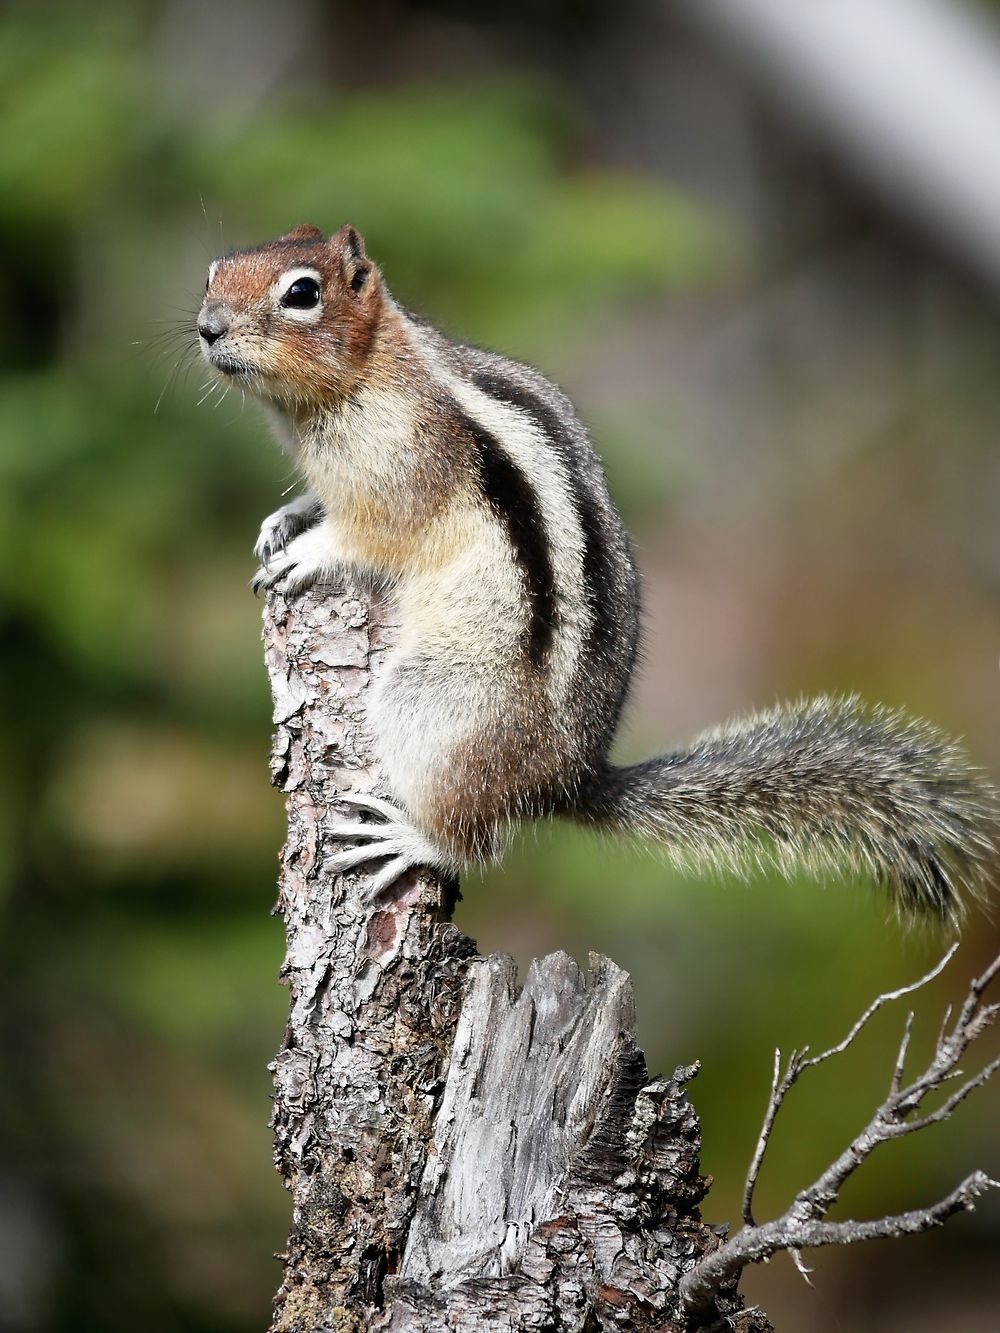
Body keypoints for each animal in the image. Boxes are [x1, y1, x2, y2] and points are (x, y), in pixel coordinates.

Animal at [200, 223, 997, 922]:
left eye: (302, 292)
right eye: (215, 268)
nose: (206, 327)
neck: (360, 377)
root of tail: (568, 780)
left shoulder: (402, 471)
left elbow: (368, 533)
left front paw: (306, 551)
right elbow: (315, 502)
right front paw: (283, 521)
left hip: (433, 701)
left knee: (475, 837)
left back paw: (409, 838)